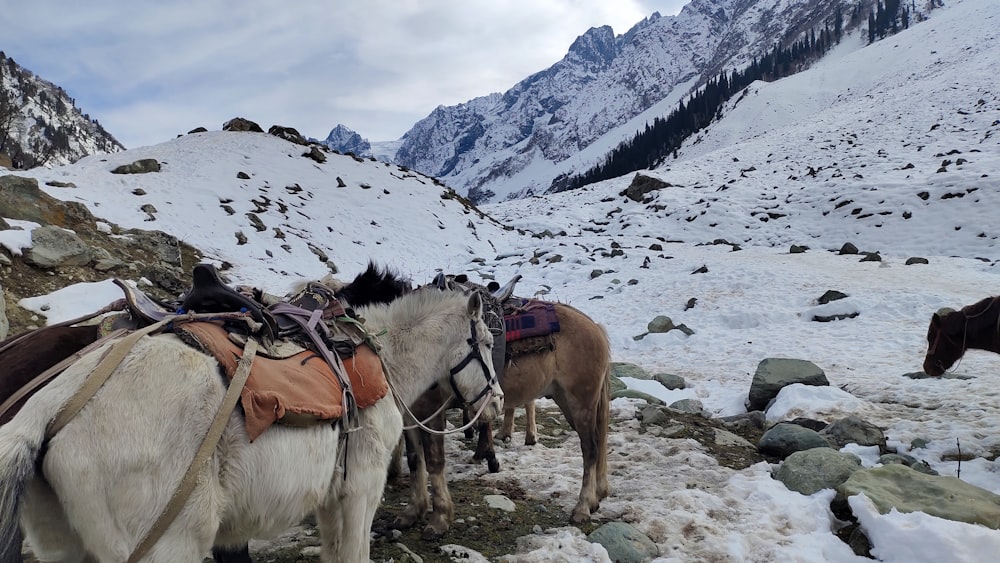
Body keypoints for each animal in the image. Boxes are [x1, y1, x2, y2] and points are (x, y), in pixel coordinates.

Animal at [0, 288, 500, 560]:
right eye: (489, 342)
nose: (494, 403)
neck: (379, 360)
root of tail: (49, 408)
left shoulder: (330, 497)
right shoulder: (362, 487)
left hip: (65, 547)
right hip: (169, 544)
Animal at [394, 300, 612, 536]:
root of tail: (595, 327)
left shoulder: (430, 410)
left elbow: (434, 461)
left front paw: (439, 519)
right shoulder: (410, 415)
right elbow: (415, 460)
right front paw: (412, 512)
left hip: (580, 403)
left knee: (590, 449)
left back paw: (583, 507)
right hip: (567, 400)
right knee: (598, 443)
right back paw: (597, 496)